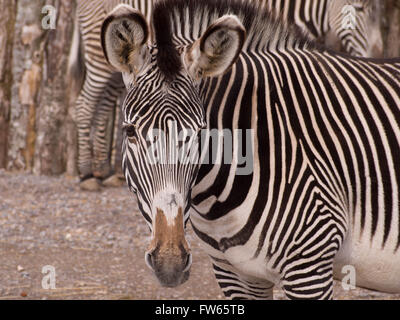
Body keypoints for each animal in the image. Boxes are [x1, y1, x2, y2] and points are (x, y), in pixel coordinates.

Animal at [69, 0, 382, 191]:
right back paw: (86, 174)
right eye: (358, 8)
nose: (374, 57)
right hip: (100, 54)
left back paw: (105, 171)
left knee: (103, 104)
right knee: (85, 104)